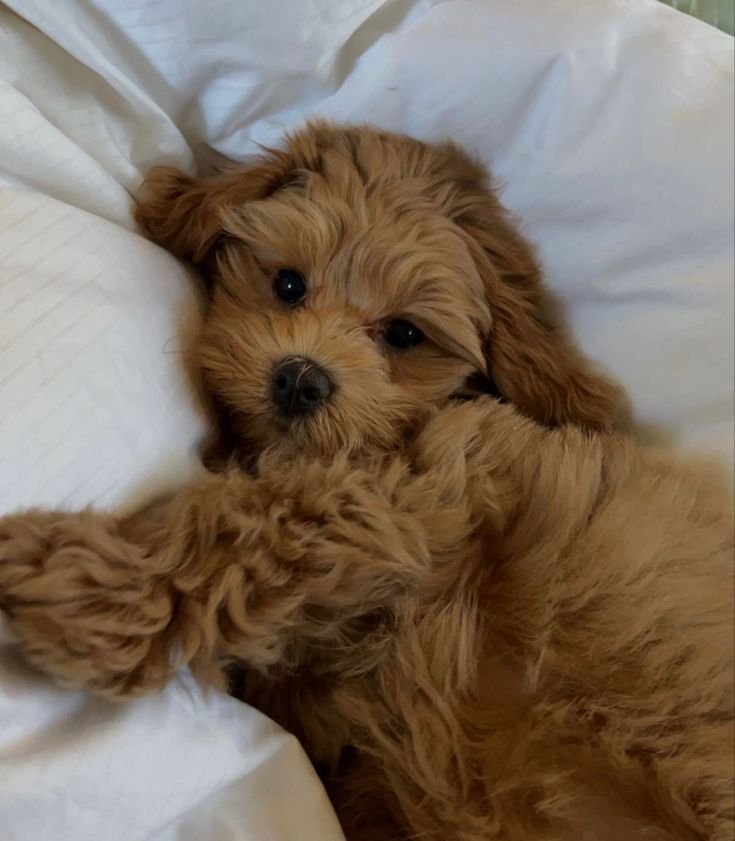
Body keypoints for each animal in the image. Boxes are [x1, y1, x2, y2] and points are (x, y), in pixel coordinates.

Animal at [0, 123, 732, 840]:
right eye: (288, 285)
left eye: (404, 333)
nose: (300, 379)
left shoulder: (421, 496)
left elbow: (255, 527)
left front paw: (77, 583)